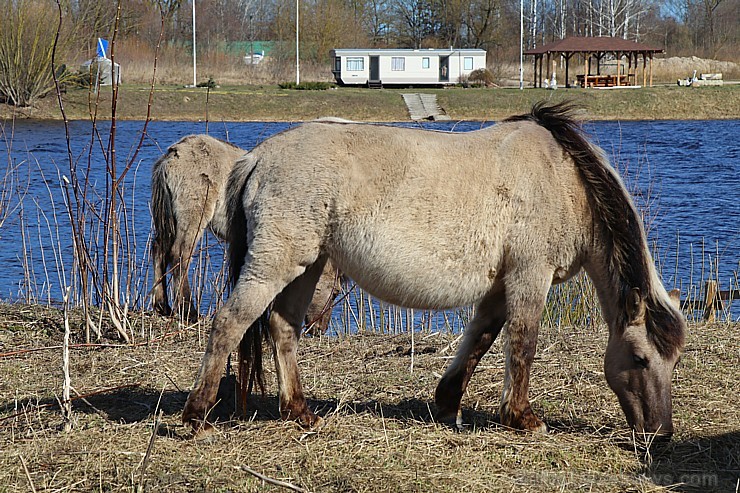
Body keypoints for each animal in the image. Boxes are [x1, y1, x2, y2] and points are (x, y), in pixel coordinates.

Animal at [153, 133, 344, 330]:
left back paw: (162, 306)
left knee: (159, 249)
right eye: (335, 293)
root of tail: (174, 153)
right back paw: (189, 311)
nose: (319, 328)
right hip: (194, 215)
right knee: (180, 255)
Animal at [184, 104, 688, 438]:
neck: (564, 178)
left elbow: (481, 339)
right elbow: (522, 343)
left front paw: (447, 404)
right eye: (640, 358)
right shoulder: (529, 275)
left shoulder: (499, 285)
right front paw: (522, 418)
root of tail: (257, 157)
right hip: (277, 260)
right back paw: (197, 415)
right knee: (230, 321)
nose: (660, 433)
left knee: (282, 326)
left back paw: (300, 411)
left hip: (309, 264)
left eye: (673, 362)